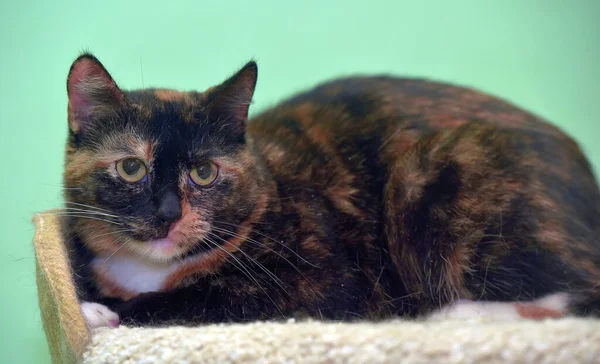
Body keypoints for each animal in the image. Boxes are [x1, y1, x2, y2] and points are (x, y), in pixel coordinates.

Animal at [62, 54, 600, 330]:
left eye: (204, 172)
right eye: (131, 168)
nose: (169, 213)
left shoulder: (321, 282)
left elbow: (185, 301)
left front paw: (99, 312)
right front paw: (92, 301)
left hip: (434, 172)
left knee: (577, 293)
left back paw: (458, 313)